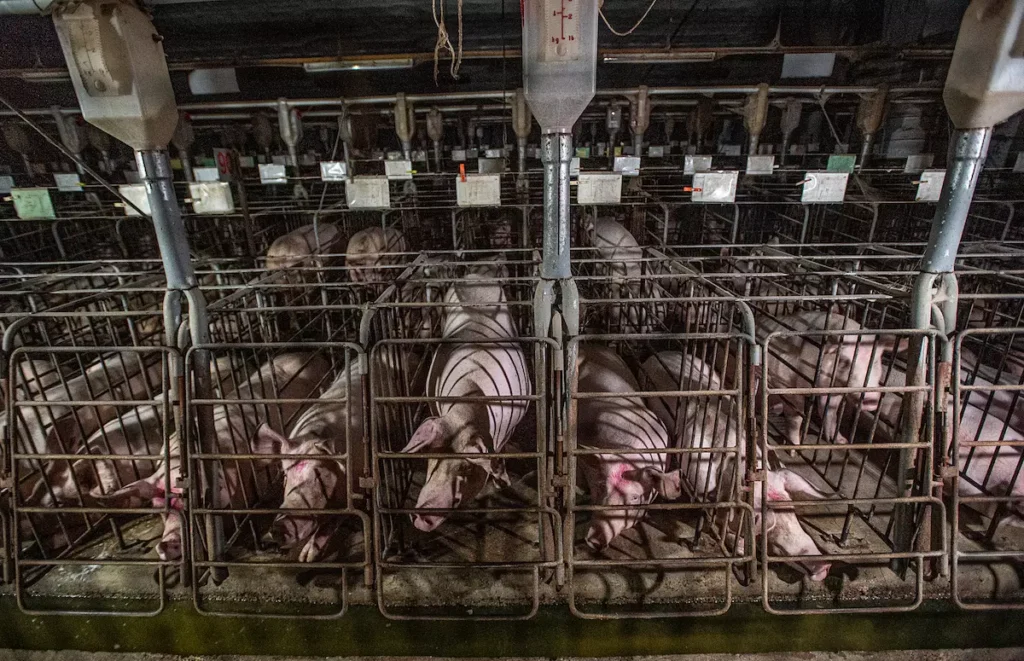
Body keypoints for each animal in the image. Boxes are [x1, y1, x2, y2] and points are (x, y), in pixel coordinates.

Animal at [397, 261, 532, 532]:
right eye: (431, 457)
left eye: (466, 467)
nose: (423, 516)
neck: (468, 407)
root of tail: (476, 274)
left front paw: (501, 484)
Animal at [638, 351, 831, 581]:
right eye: (772, 529)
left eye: (791, 509)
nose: (825, 566)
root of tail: (658, 354)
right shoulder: (698, 485)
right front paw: (737, 547)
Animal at [761, 313, 897, 448]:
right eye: (844, 361)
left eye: (875, 361)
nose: (871, 399)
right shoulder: (785, 383)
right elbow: (795, 418)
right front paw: (795, 447)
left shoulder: (833, 392)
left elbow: (831, 414)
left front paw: (841, 441)